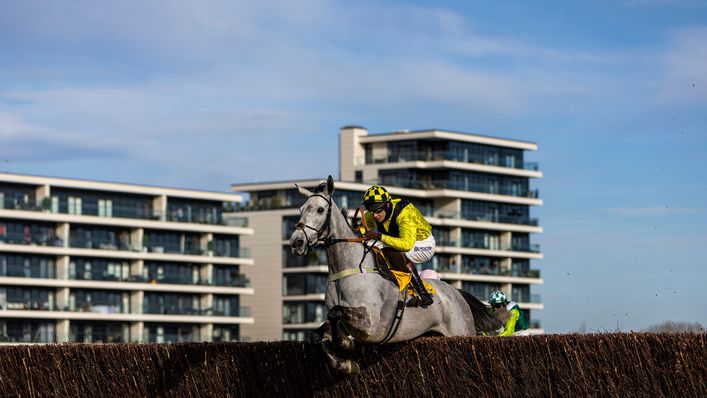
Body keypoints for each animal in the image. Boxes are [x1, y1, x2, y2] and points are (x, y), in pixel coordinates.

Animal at [286, 176, 498, 374]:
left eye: (320, 210)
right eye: (301, 209)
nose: (296, 242)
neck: (348, 269)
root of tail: (456, 292)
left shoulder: (372, 324)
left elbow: (336, 313)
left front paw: (346, 345)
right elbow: (318, 335)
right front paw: (344, 362)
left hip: (461, 330)